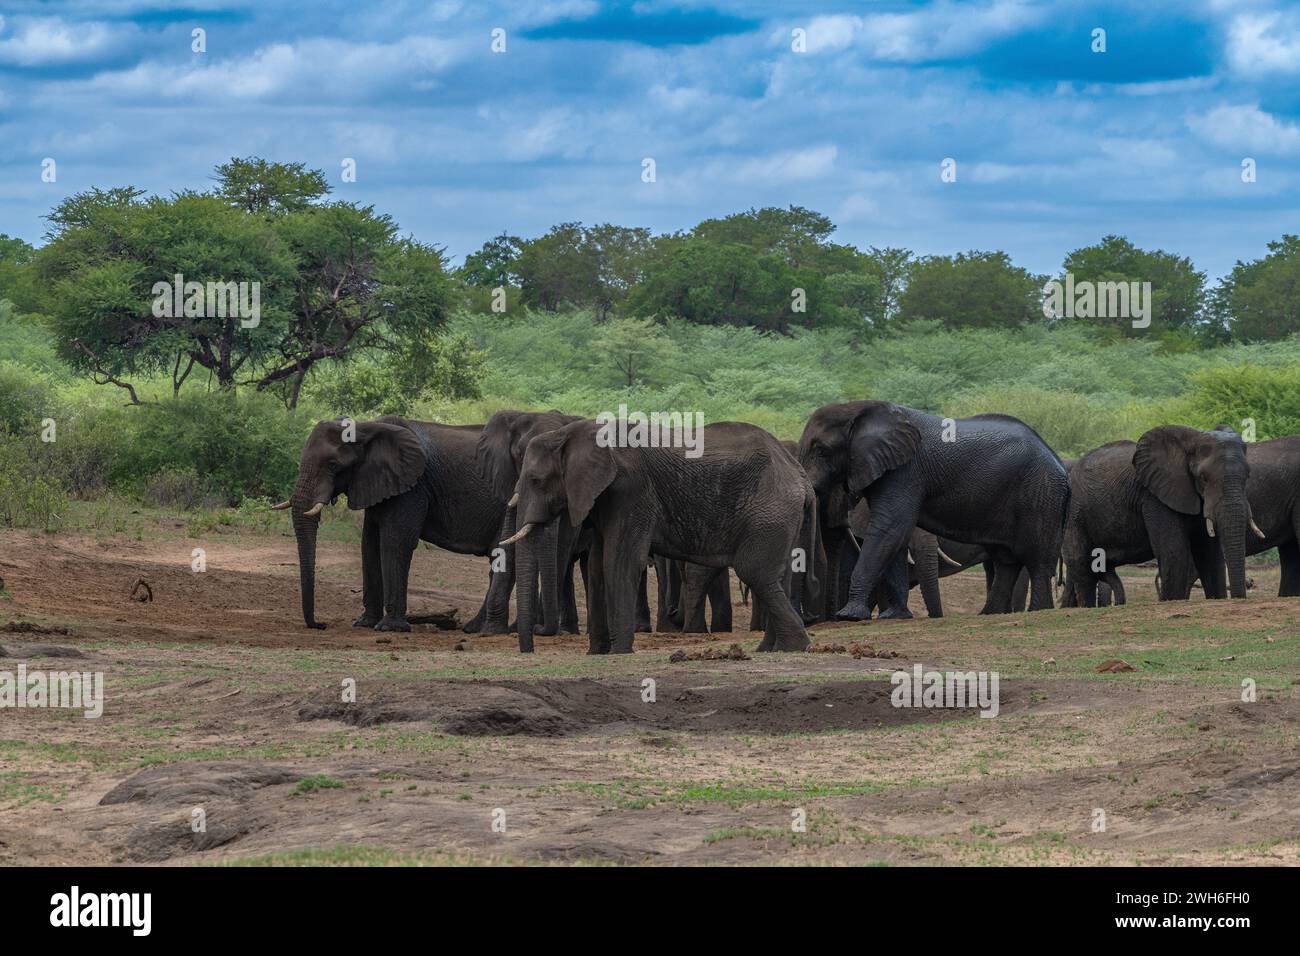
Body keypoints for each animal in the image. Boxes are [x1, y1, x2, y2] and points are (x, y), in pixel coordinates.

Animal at [276, 418, 504, 634]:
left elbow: (395, 542)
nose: (321, 625)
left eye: (333, 465)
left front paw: (389, 628)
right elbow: (369, 545)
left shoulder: (412, 486)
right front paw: (364, 623)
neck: (365, 428)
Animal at [504, 421, 811, 655]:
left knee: (755, 571)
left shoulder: (631, 490)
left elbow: (619, 561)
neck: (574, 432)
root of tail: (799, 472)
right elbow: (596, 566)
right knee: (776, 577)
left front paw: (620, 653)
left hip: (770, 510)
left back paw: (794, 646)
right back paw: (771, 648)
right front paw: (597, 653)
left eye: (536, 480)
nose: (531, 646)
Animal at [800, 403, 1066, 621]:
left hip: (1041, 494)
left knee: (1037, 561)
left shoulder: (905, 471)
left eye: (821, 451)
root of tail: (1058, 461)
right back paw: (990, 614)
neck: (859, 409)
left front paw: (850, 615)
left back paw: (1037, 611)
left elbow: (890, 529)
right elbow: (895, 534)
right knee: (1006, 563)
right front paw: (894, 616)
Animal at [1055, 429, 1258, 606]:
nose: (1240, 598)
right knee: (1082, 566)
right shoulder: (1154, 496)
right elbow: (1175, 552)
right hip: (1075, 514)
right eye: (1203, 478)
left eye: (1248, 475)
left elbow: (1210, 556)